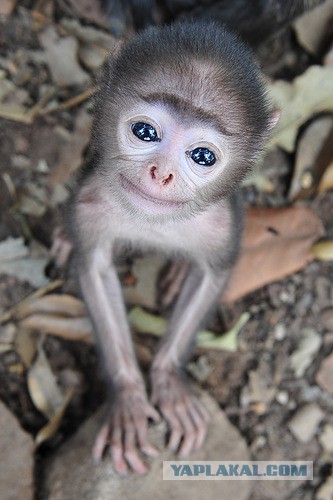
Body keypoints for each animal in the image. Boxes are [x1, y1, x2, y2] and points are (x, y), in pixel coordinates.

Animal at [70, 21, 274, 474]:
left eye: (202, 156)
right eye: (145, 132)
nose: (160, 173)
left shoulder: (222, 224)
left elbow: (212, 275)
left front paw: (169, 383)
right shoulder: (89, 203)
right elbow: (94, 270)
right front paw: (129, 398)